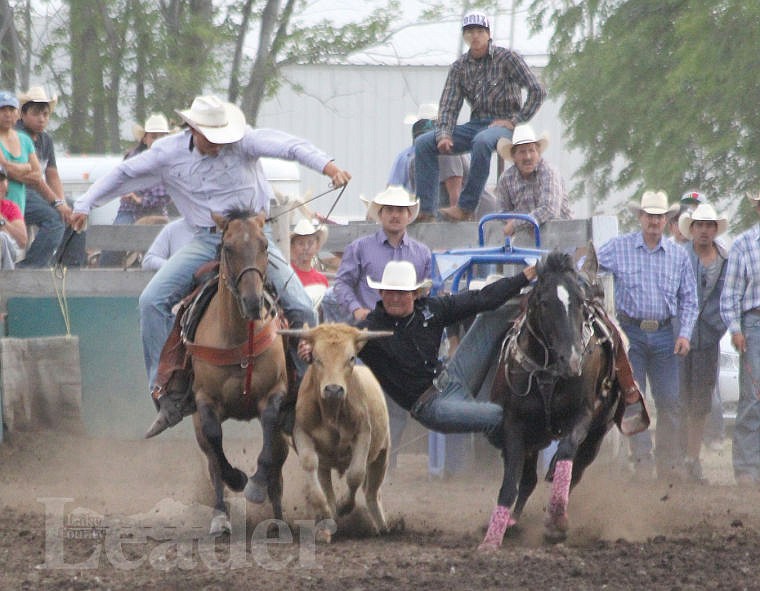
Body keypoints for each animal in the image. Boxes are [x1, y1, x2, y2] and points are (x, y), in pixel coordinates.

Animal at [186, 209, 290, 536]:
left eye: (265, 246)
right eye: (228, 248)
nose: (253, 302)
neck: (237, 338)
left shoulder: (275, 392)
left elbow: (268, 433)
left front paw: (254, 486)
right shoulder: (205, 400)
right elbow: (215, 442)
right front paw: (237, 479)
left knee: (277, 468)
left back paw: (278, 520)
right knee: (211, 460)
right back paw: (220, 516)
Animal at [480, 245, 624, 552]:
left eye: (580, 303)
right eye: (545, 302)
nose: (571, 360)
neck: (548, 372)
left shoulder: (582, 415)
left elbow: (567, 451)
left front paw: (556, 521)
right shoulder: (514, 425)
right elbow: (511, 482)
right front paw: (492, 537)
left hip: (597, 435)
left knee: (575, 469)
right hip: (535, 438)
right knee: (528, 479)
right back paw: (512, 523)